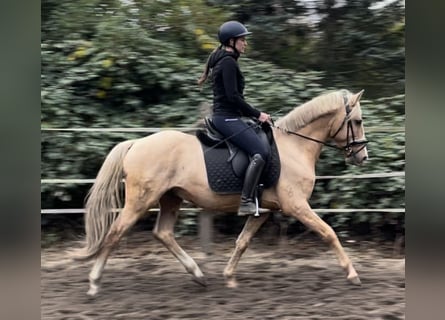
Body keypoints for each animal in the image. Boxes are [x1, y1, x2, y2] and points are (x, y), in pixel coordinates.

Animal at [73, 89, 368, 296]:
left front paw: (229, 276)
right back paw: (94, 284)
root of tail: (136, 144)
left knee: (163, 233)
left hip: (171, 198)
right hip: (140, 201)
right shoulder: (296, 206)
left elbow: (242, 241)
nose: (362, 156)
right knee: (115, 233)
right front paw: (352, 274)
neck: (294, 147)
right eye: (357, 121)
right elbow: (328, 233)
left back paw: (198, 275)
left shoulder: (264, 210)